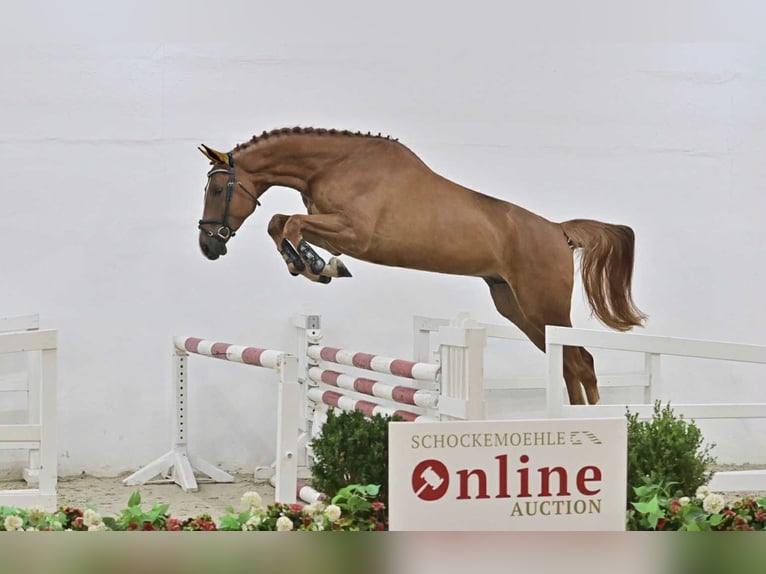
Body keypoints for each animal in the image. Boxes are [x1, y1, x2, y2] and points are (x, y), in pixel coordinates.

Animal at [196, 127, 647, 405]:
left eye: (217, 189)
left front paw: (313, 265)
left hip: (543, 306)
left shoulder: (353, 233)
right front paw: (315, 265)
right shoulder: (334, 229)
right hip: (516, 308)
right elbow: (279, 223)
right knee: (570, 363)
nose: (207, 246)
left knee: (581, 362)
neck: (335, 164)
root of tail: (558, 231)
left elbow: (287, 223)